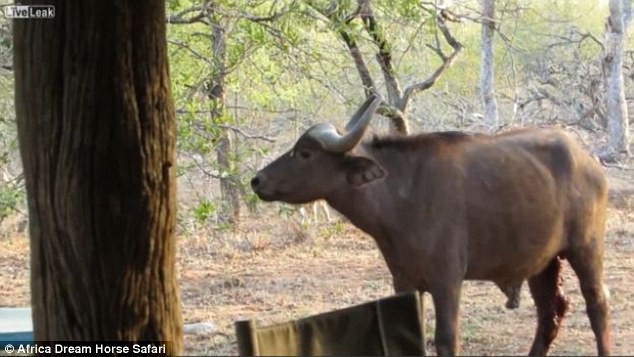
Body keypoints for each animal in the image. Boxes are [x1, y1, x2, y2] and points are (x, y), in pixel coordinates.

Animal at [249, 93, 608, 354]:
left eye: (305, 153)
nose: (257, 180)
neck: (402, 194)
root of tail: (589, 161)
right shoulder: (404, 282)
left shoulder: (447, 281)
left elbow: (447, 340)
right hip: (542, 263)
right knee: (550, 313)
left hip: (585, 250)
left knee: (597, 305)